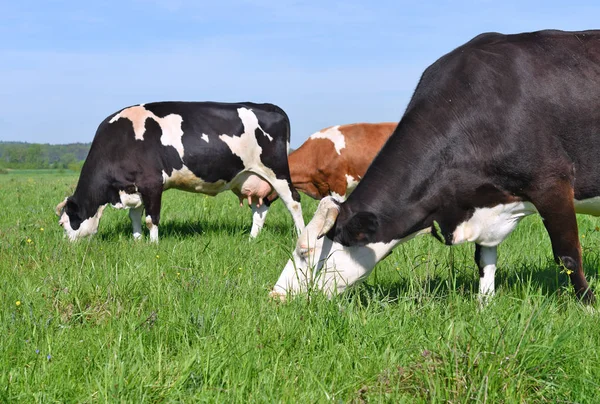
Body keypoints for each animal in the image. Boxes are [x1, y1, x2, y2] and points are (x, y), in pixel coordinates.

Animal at [56, 100, 304, 241]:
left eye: (64, 223)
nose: (68, 247)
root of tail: (268, 106)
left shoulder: (151, 183)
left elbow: (151, 219)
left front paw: (152, 245)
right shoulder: (134, 187)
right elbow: (134, 216)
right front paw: (137, 241)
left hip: (277, 172)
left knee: (293, 201)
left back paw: (302, 237)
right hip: (249, 177)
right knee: (260, 208)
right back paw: (252, 239)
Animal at [272, 30, 600, 304]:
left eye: (305, 252)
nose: (275, 296)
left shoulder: (551, 184)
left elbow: (568, 255)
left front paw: (588, 306)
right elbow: (484, 260)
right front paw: (484, 306)